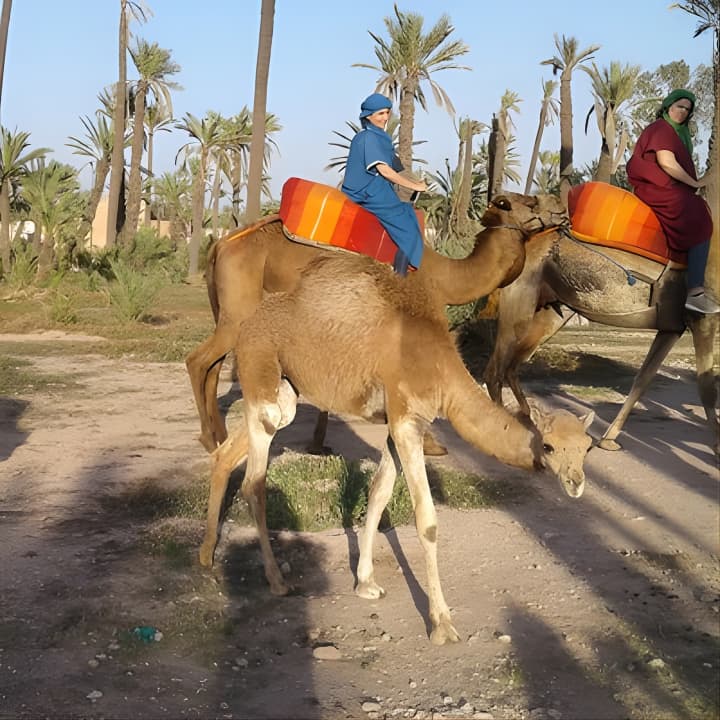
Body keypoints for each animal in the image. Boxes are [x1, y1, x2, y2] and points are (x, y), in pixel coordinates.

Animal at [185, 192, 568, 457]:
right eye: (525, 201)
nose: (560, 207)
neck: (442, 276)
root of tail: (220, 244)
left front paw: (319, 444)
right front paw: (431, 445)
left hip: (225, 308)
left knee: (214, 365)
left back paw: (218, 434)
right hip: (239, 311)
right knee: (198, 360)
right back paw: (209, 438)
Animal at [198, 248, 595, 646]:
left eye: (587, 448)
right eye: (549, 447)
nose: (576, 482)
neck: (439, 366)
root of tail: (247, 326)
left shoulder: (398, 422)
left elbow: (378, 495)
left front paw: (366, 583)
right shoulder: (407, 420)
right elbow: (427, 520)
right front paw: (442, 623)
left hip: (286, 394)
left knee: (227, 455)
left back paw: (206, 555)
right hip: (260, 376)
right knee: (254, 483)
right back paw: (277, 581)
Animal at [483, 229, 719, 453]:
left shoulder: (672, 328)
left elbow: (642, 380)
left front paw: (608, 440)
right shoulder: (703, 318)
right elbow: (707, 387)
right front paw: (716, 449)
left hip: (550, 310)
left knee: (513, 365)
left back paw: (528, 420)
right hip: (520, 300)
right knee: (495, 370)